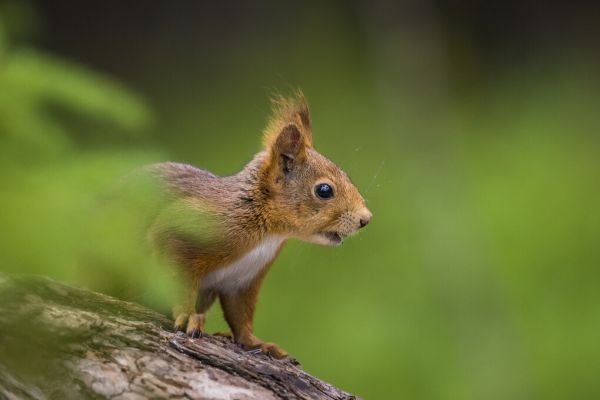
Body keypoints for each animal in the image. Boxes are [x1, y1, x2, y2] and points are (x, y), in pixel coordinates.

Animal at [143, 92, 372, 358]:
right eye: (324, 190)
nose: (365, 219)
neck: (269, 234)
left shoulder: (243, 280)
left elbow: (240, 316)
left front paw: (257, 343)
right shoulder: (184, 231)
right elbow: (178, 282)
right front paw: (189, 316)